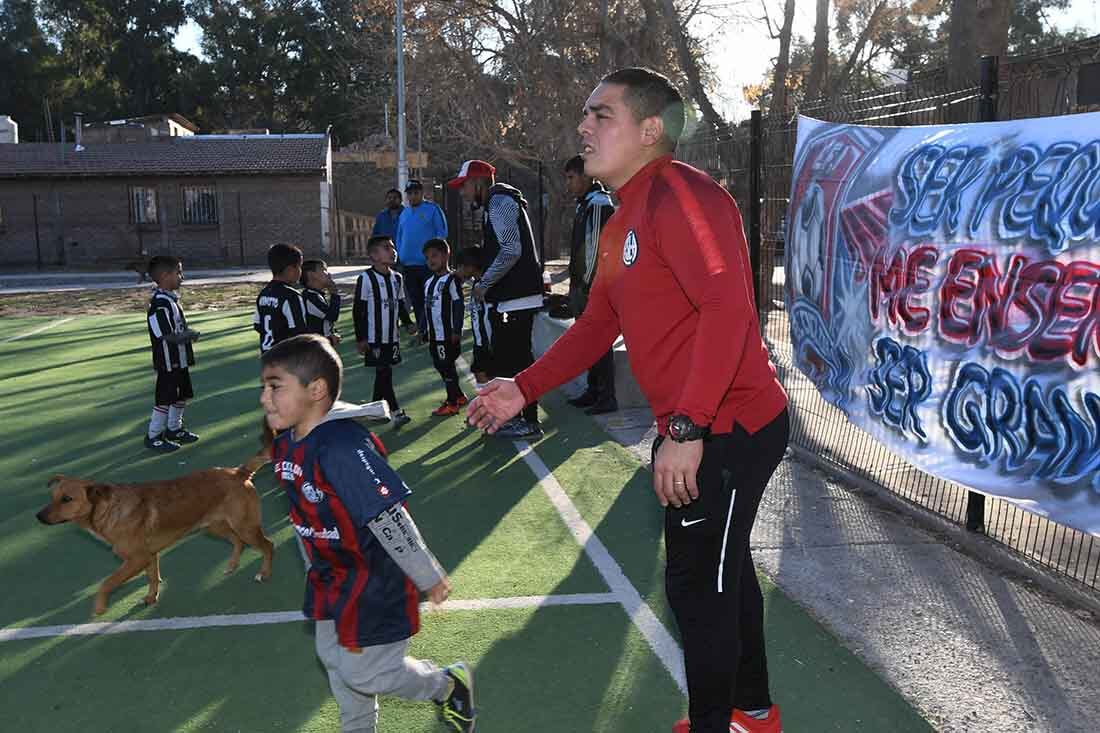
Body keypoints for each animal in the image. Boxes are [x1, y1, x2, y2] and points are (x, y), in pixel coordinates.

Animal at [37, 442, 275, 611]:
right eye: (52, 497)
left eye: (67, 499)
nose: (38, 516)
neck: (110, 511)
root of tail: (239, 472)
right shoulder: (150, 556)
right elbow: (152, 578)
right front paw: (152, 598)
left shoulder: (137, 559)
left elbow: (107, 582)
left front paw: (100, 606)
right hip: (215, 527)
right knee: (238, 542)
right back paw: (232, 566)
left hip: (245, 527)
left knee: (267, 545)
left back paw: (263, 574)